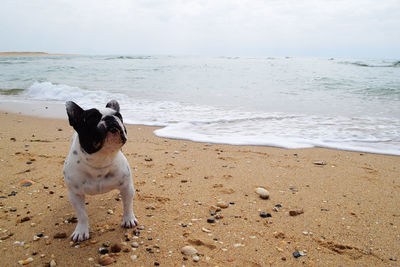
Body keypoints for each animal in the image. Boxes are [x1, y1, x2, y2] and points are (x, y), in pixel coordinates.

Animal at [62, 100, 138, 243]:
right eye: (92, 118)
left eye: (119, 116)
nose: (110, 118)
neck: (101, 159)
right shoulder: (75, 194)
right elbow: (82, 214)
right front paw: (81, 231)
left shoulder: (127, 187)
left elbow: (127, 205)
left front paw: (128, 219)